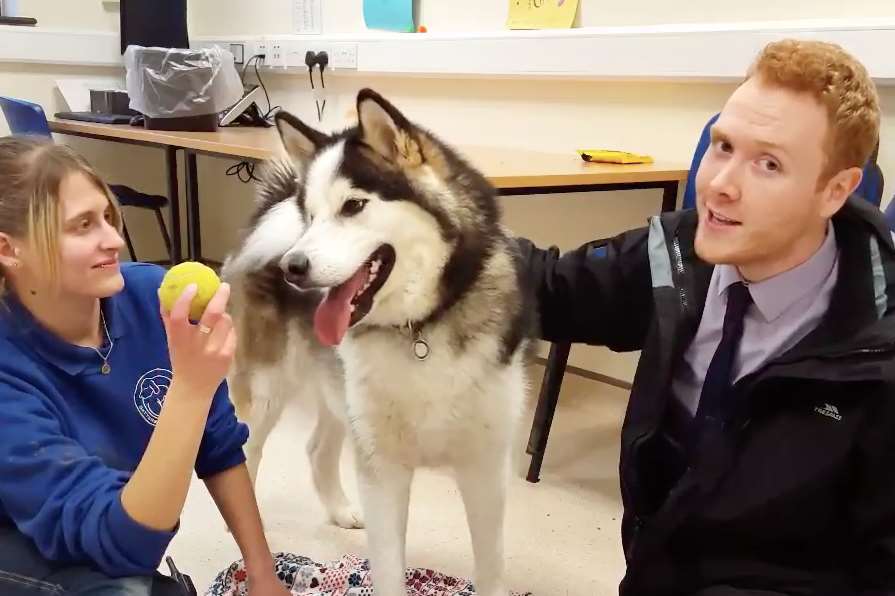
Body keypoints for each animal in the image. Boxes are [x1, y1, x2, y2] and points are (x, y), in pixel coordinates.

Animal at [223, 89, 536, 596]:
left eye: (353, 206)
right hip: (267, 393)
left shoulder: (484, 470)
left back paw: (340, 511)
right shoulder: (384, 471)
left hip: (340, 395)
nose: (292, 267)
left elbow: (491, 567)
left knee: (316, 449)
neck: (419, 330)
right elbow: (388, 568)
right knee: (243, 460)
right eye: (311, 216)